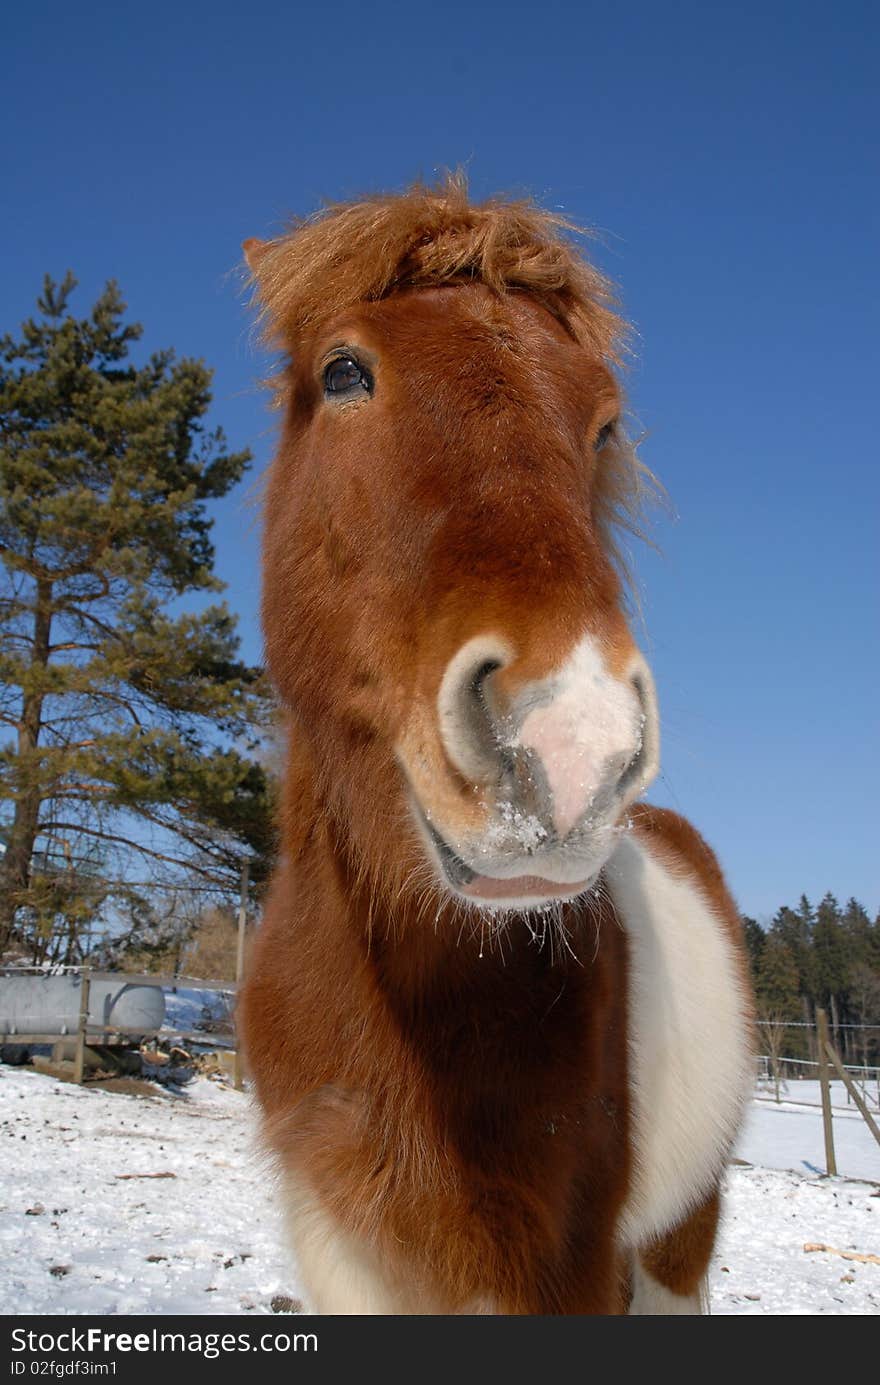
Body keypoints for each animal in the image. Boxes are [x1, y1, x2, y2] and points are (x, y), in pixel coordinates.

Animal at [241, 173, 759, 1307]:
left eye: (605, 424)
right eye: (344, 371)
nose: (572, 742)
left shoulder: (565, 1265)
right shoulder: (340, 1246)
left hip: (678, 1238)